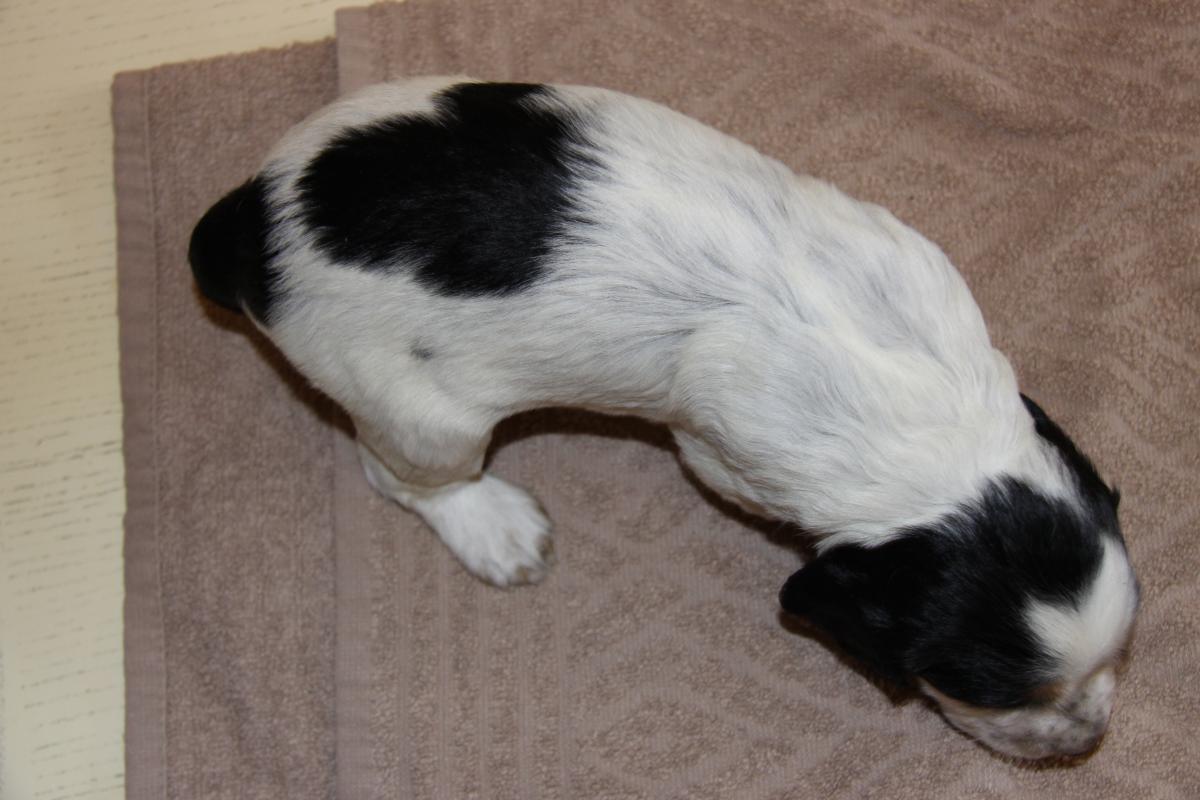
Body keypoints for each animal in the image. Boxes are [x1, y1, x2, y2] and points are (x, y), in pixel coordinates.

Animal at [189, 77, 1139, 761]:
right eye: (989, 691)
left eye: (1117, 657)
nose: (1085, 741)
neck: (930, 417)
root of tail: (247, 226)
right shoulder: (718, 451)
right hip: (424, 414)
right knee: (401, 477)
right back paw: (495, 525)